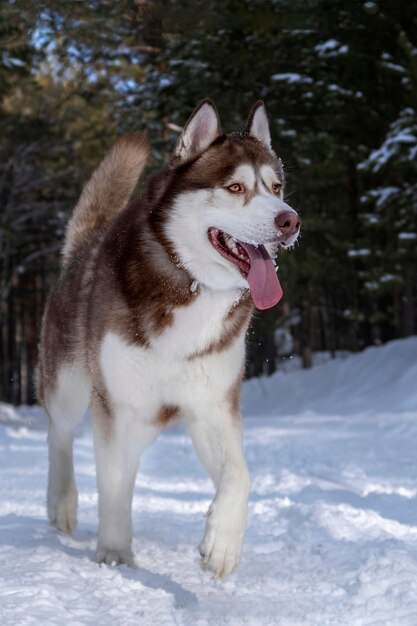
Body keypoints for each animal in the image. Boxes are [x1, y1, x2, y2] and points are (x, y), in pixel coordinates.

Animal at [37, 98, 300, 576]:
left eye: (277, 188)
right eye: (235, 187)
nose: (290, 220)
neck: (189, 283)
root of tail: (81, 248)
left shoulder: (212, 405)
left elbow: (240, 473)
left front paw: (222, 541)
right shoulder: (117, 405)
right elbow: (113, 483)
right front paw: (115, 550)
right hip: (70, 386)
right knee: (60, 436)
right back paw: (62, 501)